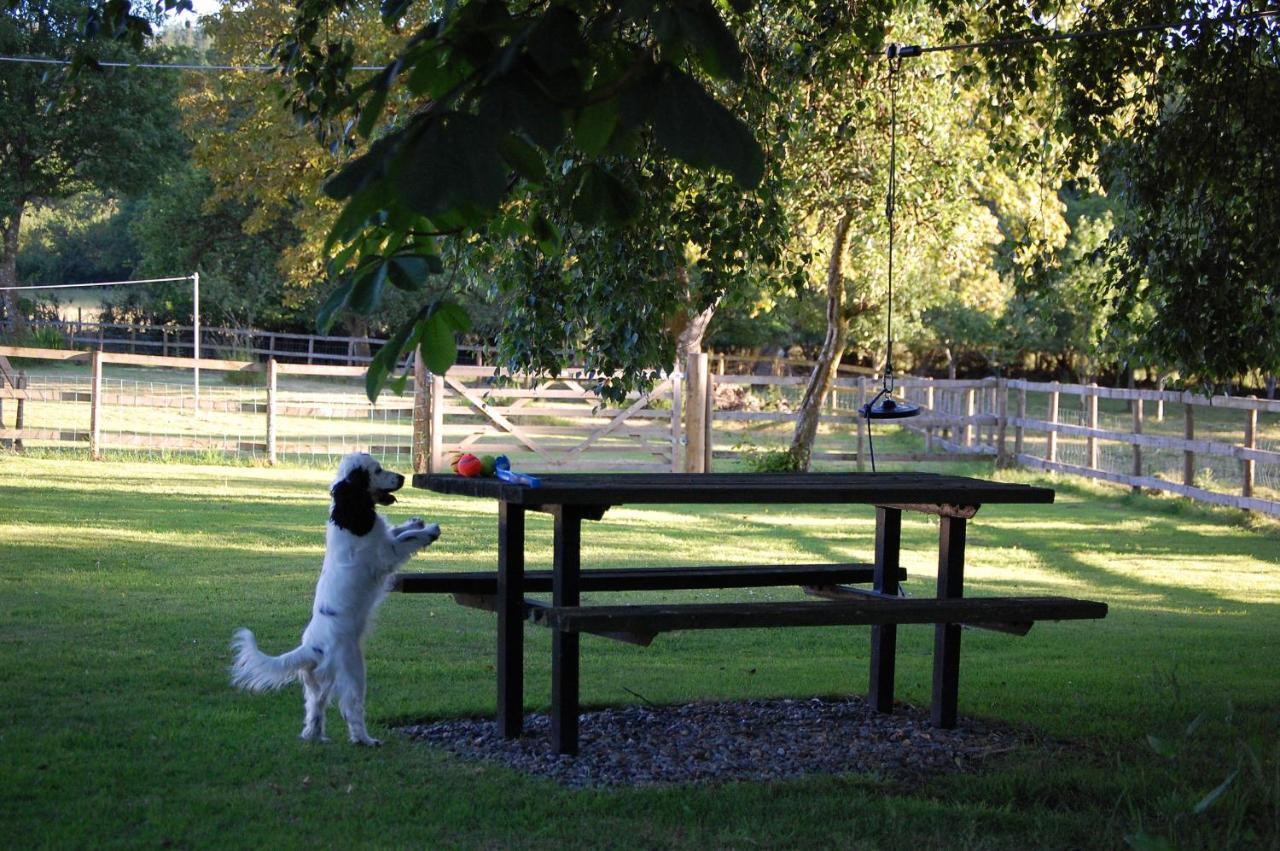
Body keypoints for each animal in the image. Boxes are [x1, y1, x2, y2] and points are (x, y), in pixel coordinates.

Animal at [232, 450, 442, 742]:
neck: (349, 515)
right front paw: (429, 530)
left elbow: (398, 530)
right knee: (352, 709)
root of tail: (311, 648)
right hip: (353, 671)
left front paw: (415, 521)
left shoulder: (383, 537)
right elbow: (407, 539)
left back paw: (315, 737)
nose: (402, 477)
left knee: (315, 708)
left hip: (319, 683)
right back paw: (365, 740)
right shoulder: (385, 553)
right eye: (377, 471)